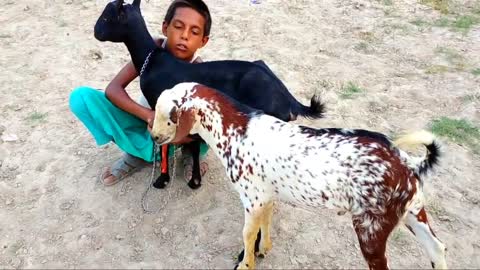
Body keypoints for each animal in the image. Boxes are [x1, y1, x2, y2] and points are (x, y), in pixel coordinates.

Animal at [93, 0, 324, 190]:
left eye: (106, 17)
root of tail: (288, 100)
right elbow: (193, 146)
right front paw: (194, 180)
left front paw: (162, 180)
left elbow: (166, 143)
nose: (96, 32)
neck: (152, 59)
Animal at [152, 82, 448, 270]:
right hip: (413, 213)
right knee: (437, 248)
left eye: (168, 115)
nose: (153, 136)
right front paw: (264, 249)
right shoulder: (267, 197)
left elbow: (247, 234)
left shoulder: (252, 199)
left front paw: (245, 264)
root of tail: (408, 164)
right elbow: (265, 224)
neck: (235, 129)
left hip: (371, 229)